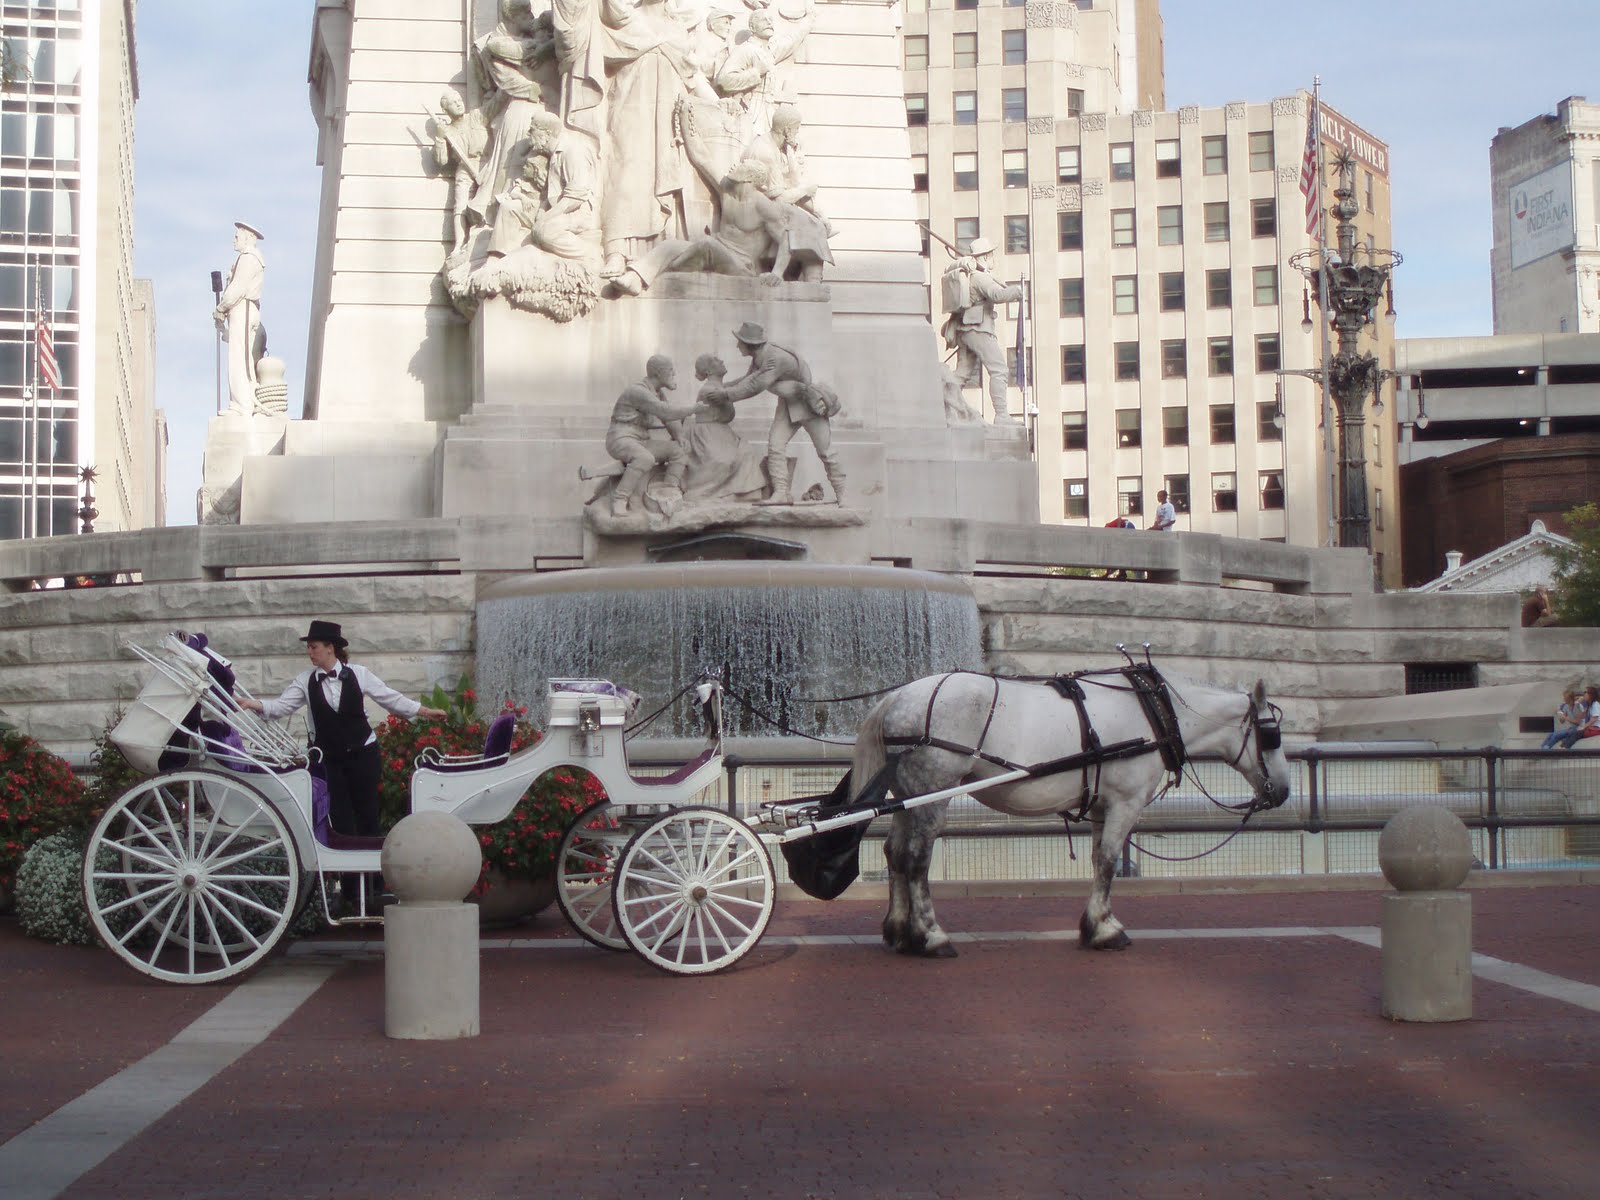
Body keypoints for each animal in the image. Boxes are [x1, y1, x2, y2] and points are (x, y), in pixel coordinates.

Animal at [851, 668, 1286, 960]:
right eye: (1271, 735)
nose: (1281, 791)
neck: (1155, 713)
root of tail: (895, 699)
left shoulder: (1101, 806)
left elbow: (1097, 861)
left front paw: (1094, 925)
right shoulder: (1125, 803)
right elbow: (1109, 863)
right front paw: (1106, 930)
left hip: (906, 795)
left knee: (894, 852)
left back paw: (899, 931)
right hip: (932, 793)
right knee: (917, 858)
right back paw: (931, 936)